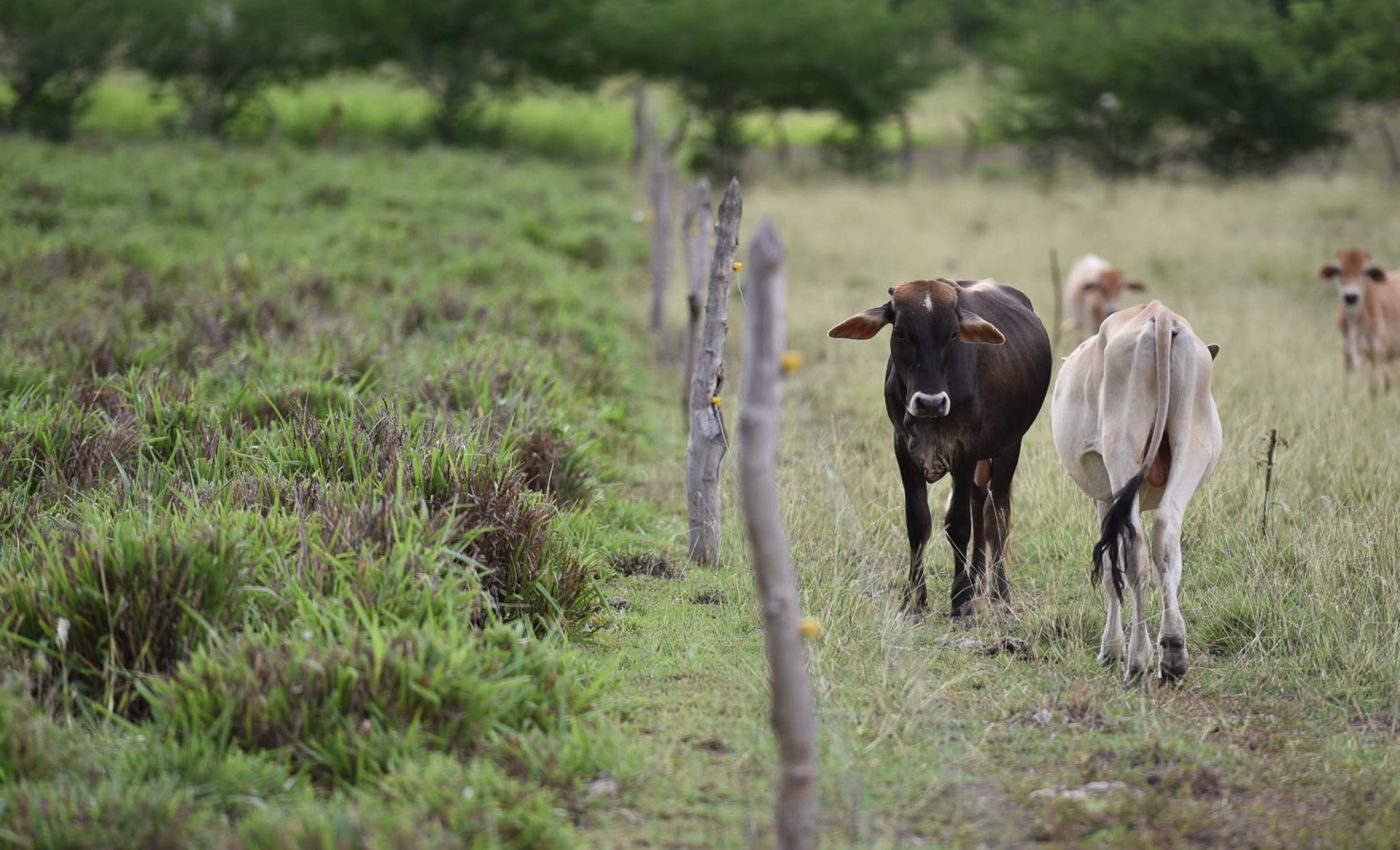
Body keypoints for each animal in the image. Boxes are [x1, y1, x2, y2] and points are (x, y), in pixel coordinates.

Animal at [829, 278, 1051, 617]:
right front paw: (914, 600)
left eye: (953, 335)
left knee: (996, 514)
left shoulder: (966, 451)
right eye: (901, 332)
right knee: (979, 507)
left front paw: (960, 600)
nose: (930, 402)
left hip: (1008, 448)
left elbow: (958, 524)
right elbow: (918, 522)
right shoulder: (903, 449)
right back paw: (977, 582)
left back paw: (999, 594)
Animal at [1051, 301, 1221, 686]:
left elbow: (1112, 572)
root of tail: (1159, 314)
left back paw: (1138, 660)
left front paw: (1111, 649)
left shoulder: (1104, 499)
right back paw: (1172, 650)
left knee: (1135, 553)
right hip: (1192, 447)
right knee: (1165, 534)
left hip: (1122, 454)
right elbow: (1168, 569)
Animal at [1317, 248, 1400, 393]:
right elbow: (1346, 388)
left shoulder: (1377, 353)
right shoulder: (1347, 354)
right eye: (1339, 270)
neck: (1355, 321)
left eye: (1365, 271)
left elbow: (1374, 387)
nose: (1351, 297)